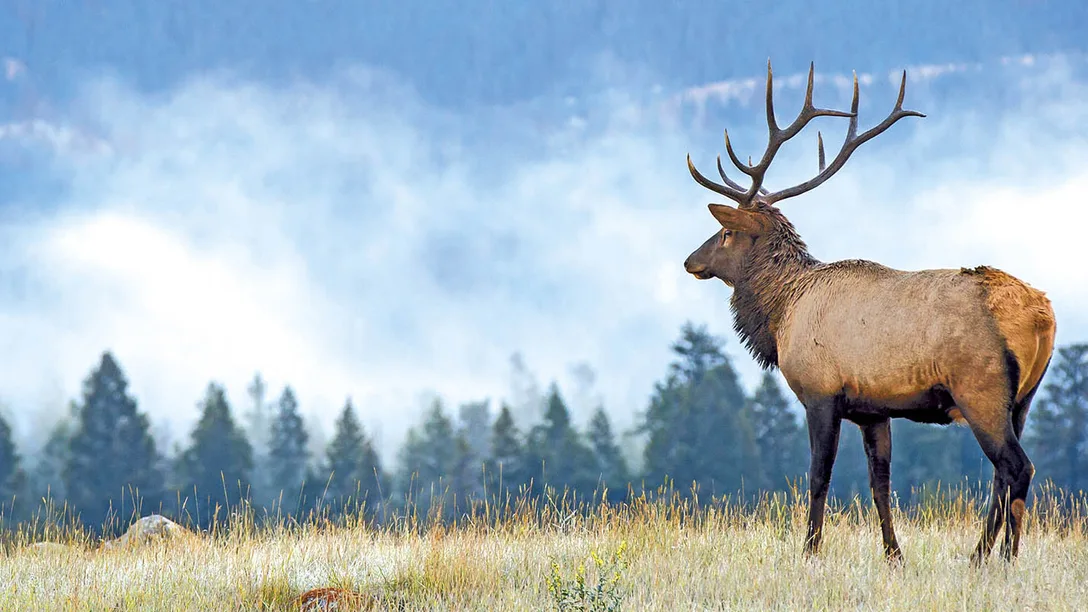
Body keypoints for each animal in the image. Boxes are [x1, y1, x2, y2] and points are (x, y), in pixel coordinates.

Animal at [682, 61, 1056, 565]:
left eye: (724, 233)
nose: (690, 261)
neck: (781, 317)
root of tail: (1044, 316)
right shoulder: (873, 409)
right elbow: (881, 485)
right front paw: (894, 555)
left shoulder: (821, 393)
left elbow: (818, 477)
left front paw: (810, 552)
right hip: (1024, 398)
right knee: (1004, 472)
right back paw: (990, 555)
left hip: (980, 388)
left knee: (1017, 467)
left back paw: (994, 557)